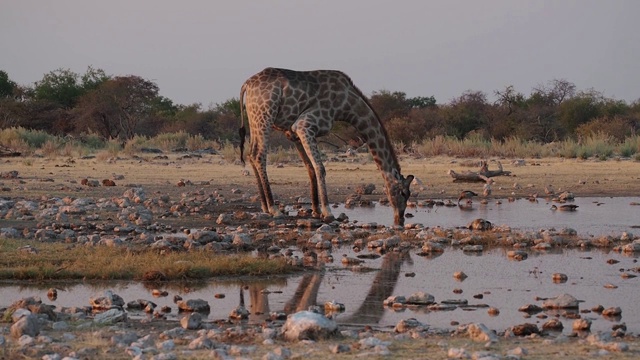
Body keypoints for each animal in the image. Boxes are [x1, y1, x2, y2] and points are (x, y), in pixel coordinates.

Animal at [238, 67, 412, 225]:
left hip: (254, 119)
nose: (400, 218)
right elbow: (320, 168)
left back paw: (265, 207)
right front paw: (327, 212)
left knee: (251, 154)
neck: (346, 105)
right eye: (403, 193)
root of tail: (246, 84)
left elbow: (310, 167)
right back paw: (274, 209)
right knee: (259, 155)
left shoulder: (293, 133)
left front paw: (316, 210)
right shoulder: (304, 125)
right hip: (265, 116)